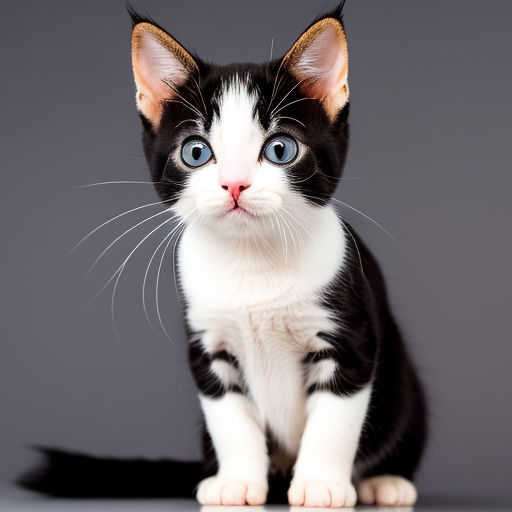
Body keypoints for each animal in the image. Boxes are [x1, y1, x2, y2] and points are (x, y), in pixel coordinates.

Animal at [19, 4, 428, 508]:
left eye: (280, 149)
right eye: (196, 152)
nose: (234, 183)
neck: (251, 263)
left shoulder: (350, 337)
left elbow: (334, 420)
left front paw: (320, 485)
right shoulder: (209, 346)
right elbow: (230, 420)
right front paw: (237, 481)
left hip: (404, 388)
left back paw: (384, 482)